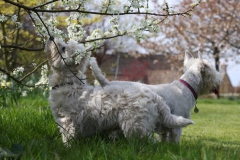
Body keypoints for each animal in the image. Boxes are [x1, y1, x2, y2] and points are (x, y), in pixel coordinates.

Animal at [44, 37, 193, 144]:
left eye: (63, 48)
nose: (51, 38)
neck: (69, 83)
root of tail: (153, 95)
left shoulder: (67, 121)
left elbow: (67, 138)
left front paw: (67, 149)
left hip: (135, 125)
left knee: (150, 142)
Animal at [90, 50, 223, 142]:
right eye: (213, 70)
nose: (220, 79)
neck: (187, 87)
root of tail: (108, 84)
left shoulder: (166, 125)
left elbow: (163, 138)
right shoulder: (176, 125)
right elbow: (175, 140)